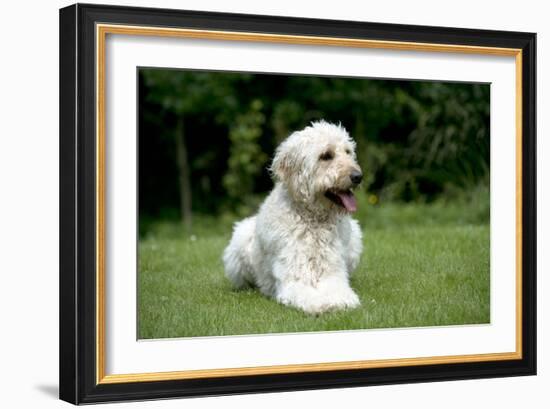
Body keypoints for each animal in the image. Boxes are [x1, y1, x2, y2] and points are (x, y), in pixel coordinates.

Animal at [222, 119, 364, 314]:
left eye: (348, 152)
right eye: (326, 156)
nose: (358, 176)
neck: (313, 219)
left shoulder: (332, 272)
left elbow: (339, 289)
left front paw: (341, 300)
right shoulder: (295, 277)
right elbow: (306, 294)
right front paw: (321, 304)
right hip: (240, 241)